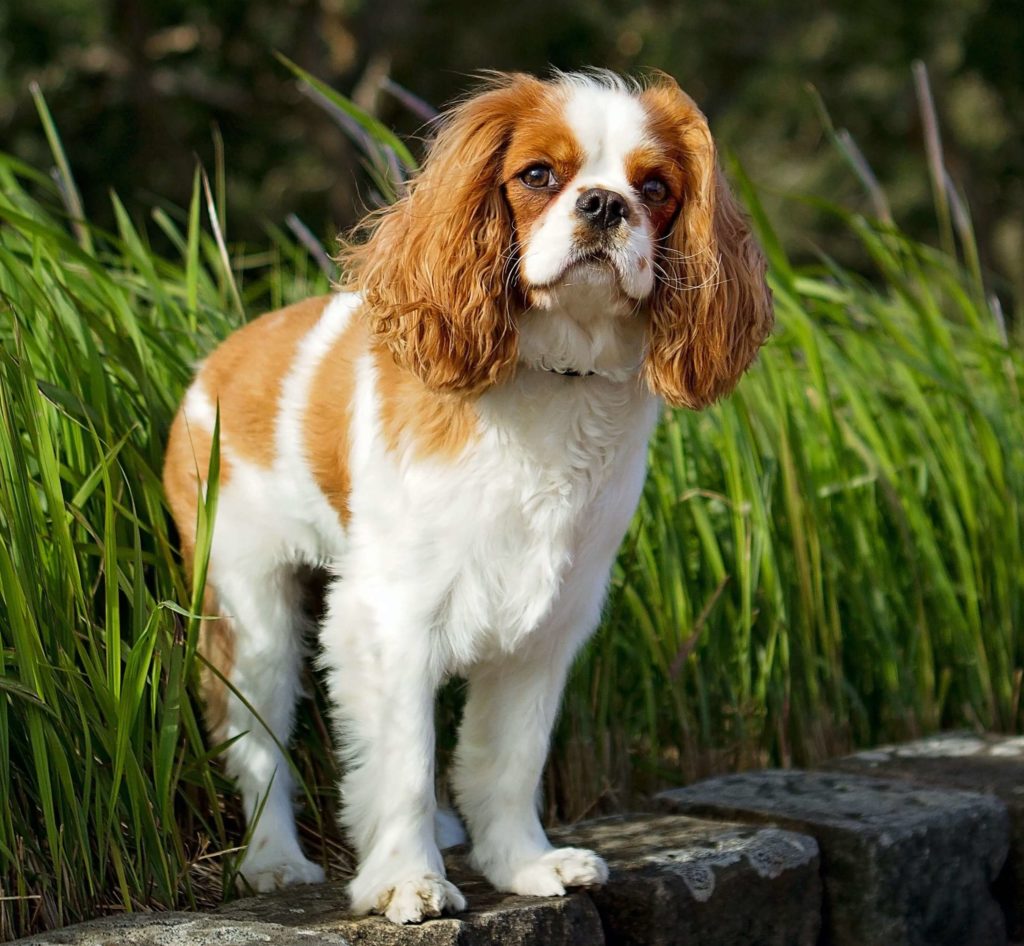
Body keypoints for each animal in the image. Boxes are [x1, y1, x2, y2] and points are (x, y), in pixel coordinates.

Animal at [161, 68, 770, 925]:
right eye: (538, 175)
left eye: (655, 189)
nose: (604, 204)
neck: (558, 378)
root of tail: (216, 365)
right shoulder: (390, 617)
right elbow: (404, 763)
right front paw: (406, 880)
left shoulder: (547, 627)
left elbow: (508, 759)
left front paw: (524, 864)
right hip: (249, 611)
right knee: (257, 743)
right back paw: (274, 861)